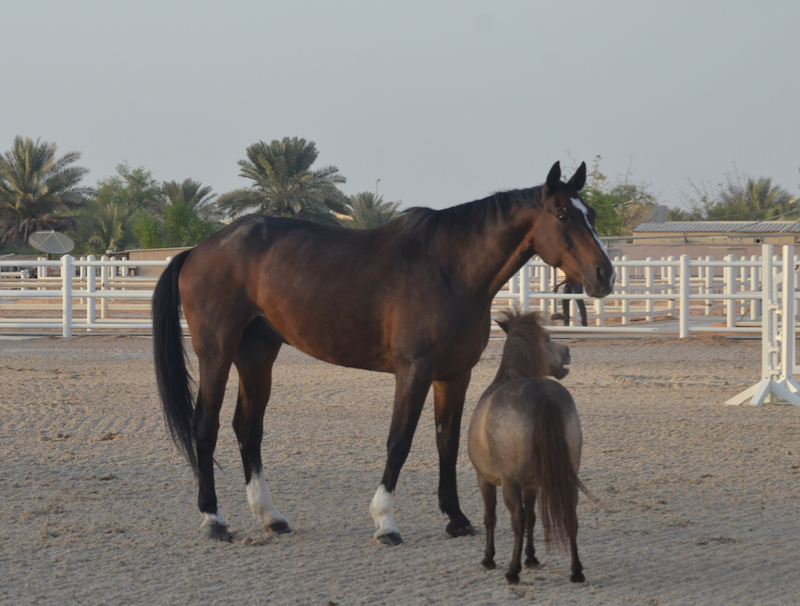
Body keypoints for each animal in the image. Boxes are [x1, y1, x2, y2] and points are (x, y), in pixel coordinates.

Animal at [150, 160, 612, 548]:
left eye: (591, 213)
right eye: (562, 214)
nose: (604, 274)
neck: (450, 268)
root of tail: (199, 250)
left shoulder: (454, 375)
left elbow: (446, 442)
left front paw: (456, 518)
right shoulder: (414, 370)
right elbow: (399, 440)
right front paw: (385, 521)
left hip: (258, 355)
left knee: (248, 428)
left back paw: (271, 516)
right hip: (217, 353)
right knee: (205, 427)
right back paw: (214, 519)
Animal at [468, 312, 588, 588]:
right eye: (548, 337)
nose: (567, 351)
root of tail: (541, 395)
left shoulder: (485, 479)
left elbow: (491, 517)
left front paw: (489, 559)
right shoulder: (533, 484)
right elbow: (533, 517)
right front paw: (532, 558)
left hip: (510, 483)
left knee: (517, 519)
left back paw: (512, 571)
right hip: (566, 477)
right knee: (569, 514)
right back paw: (576, 571)